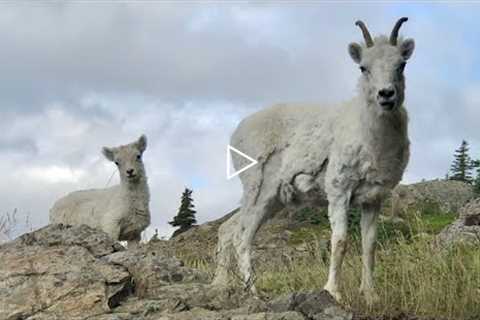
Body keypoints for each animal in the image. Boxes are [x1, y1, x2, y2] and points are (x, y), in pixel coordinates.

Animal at [212, 18, 414, 304]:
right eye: (363, 67)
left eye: (401, 64)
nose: (386, 95)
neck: (371, 138)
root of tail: (237, 133)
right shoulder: (339, 191)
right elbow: (340, 241)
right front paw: (333, 292)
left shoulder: (373, 199)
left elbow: (369, 245)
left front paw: (370, 295)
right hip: (258, 192)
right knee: (242, 237)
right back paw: (253, 291)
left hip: (270, 201)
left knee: (228, 229)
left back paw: (222, 286)